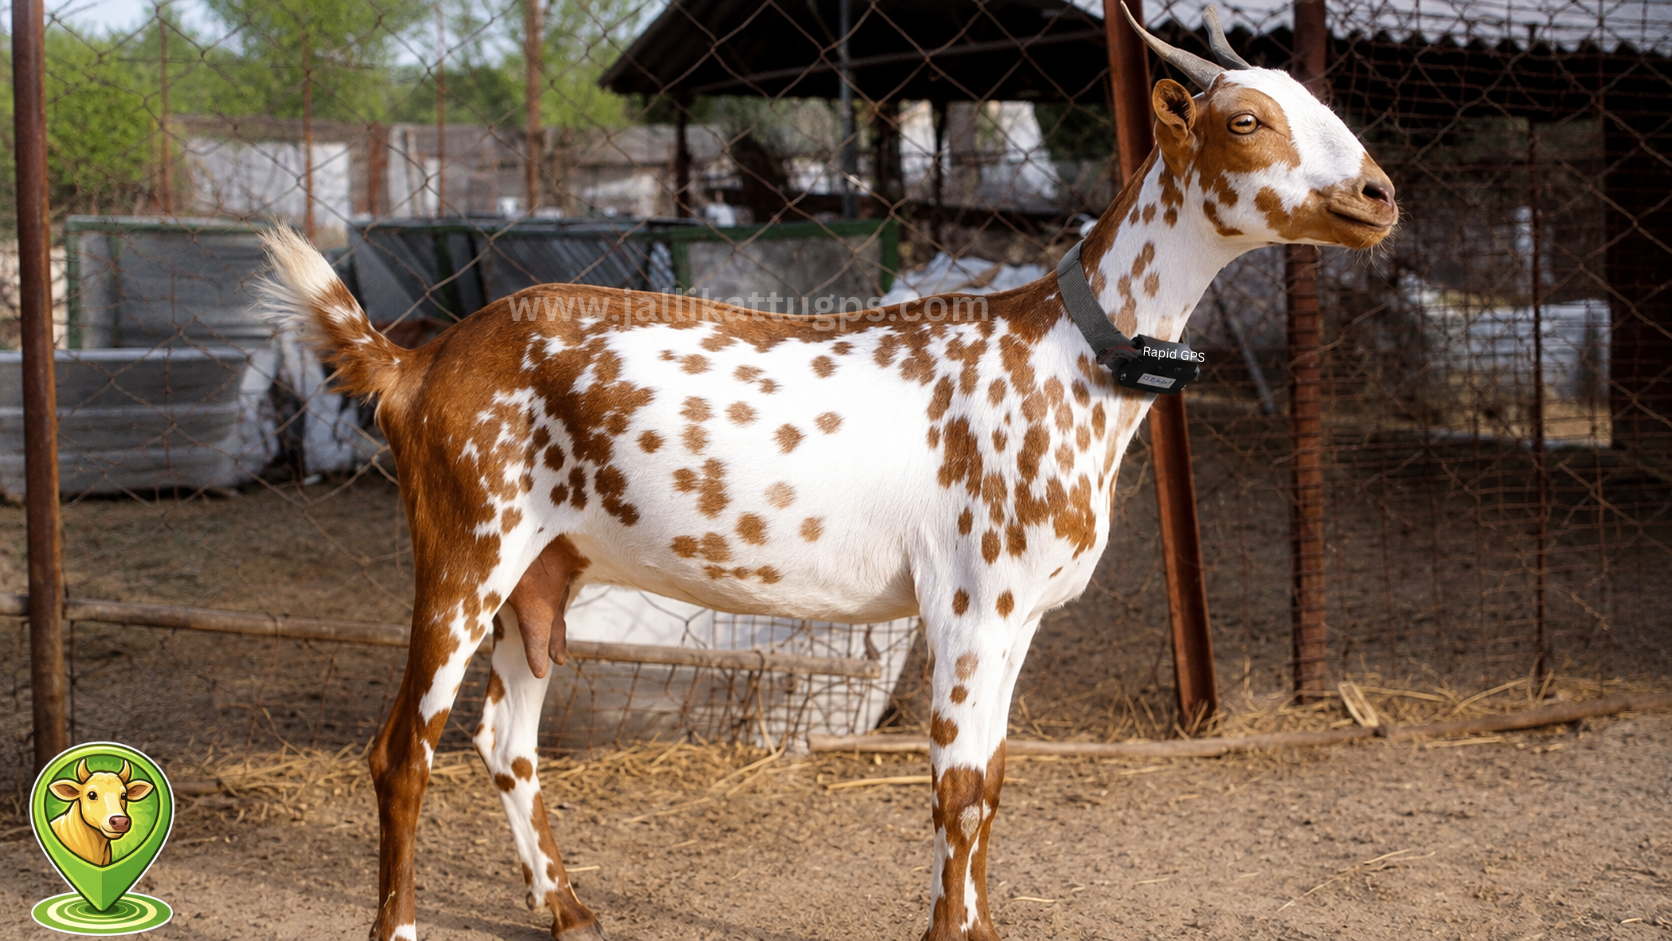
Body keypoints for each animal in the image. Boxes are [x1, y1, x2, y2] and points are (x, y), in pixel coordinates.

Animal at [259, 11, 1395, 940]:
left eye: (1326, 107)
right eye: (1246, 121)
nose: (1377, 194)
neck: (1063, 346)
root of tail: (417, 362)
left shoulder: (1020, 615)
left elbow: (992, 781)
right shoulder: (971, 603)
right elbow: (956, 785)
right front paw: (950, 932)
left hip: (541, 571)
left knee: (507, 738)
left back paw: (568, 906)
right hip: (465, 548)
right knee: (403, 747)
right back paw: (404, 922)